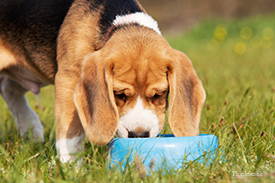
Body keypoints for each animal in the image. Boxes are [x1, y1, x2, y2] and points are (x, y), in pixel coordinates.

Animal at [0, 0, 206, 163]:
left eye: (159, 95)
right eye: (119, 95)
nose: (138, 135)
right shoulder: (68, 79)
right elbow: (70, 133)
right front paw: (71, 169)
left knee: (9, 88)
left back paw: (31, 128)